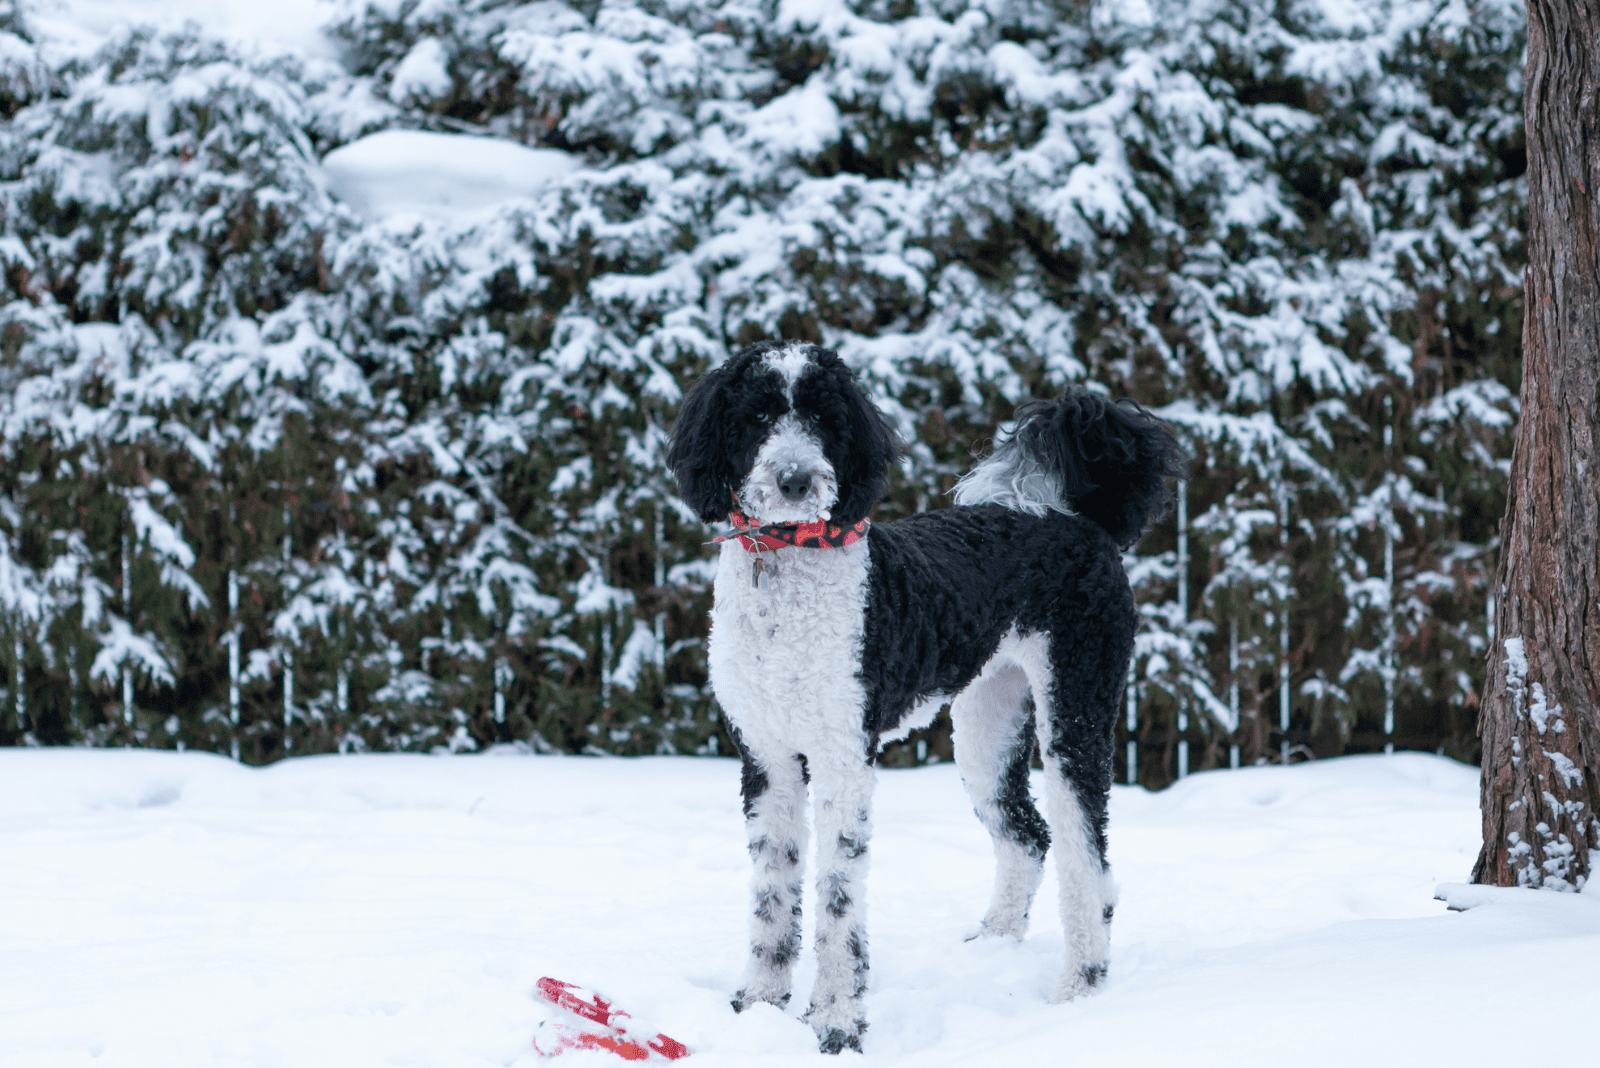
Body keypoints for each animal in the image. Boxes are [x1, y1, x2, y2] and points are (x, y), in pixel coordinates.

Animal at [665, 340, 1190, 1048]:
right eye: (756, 417)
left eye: (825, 418)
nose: (796, 480)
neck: (787, 569)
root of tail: (1080, 523)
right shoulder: (766, 756)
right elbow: (772, 893)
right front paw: (758, 1007)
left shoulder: (843, 756)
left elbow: (836, 897)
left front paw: (835, 1023)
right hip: (986, 727)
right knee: (1028, 836)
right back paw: (992, 947)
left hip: (1077, 710)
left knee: (1089, 864)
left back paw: (1079, 991)